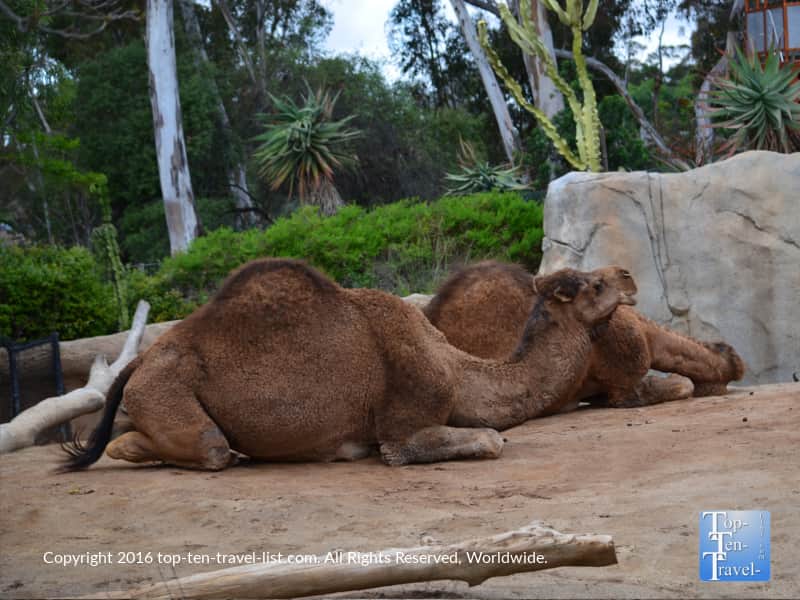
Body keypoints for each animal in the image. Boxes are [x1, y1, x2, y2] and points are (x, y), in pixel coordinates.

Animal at [61, 258, 635, 471]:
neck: (454, 367)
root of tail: (139, 360)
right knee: (206, 447)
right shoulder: (404, 426)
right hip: (168, 389)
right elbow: (491, 439)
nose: (628, 275)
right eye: (593, 284)